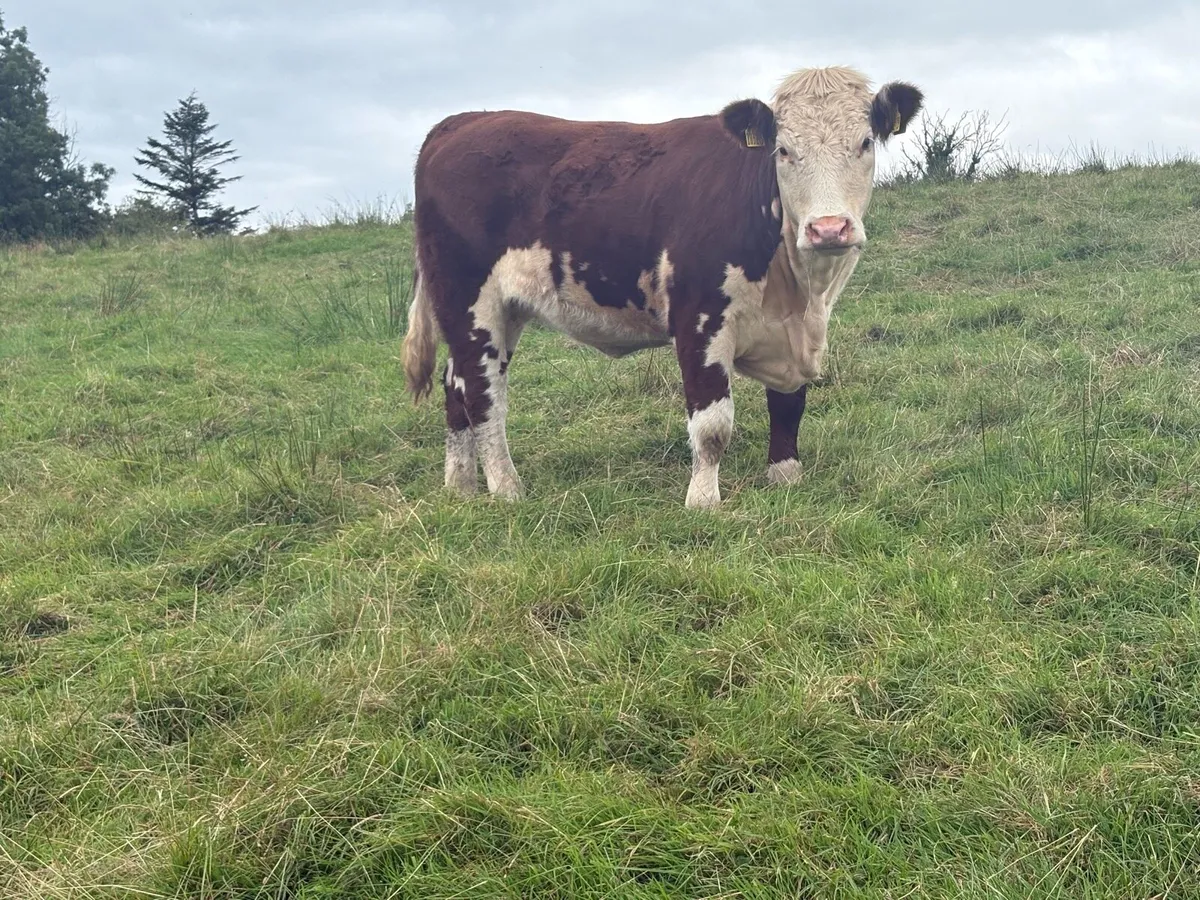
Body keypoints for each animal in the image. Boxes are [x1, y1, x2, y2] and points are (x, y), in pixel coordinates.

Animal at [402, 66, 923, 508]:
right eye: (784, 151)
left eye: (864, 143)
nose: (829, 228)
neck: (799, 290)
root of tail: (463, 121)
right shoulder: (699, 317)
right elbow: (712, 423)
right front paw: (703, 501)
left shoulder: (796, 331)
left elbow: (789, 403)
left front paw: (786, 478)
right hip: (469, 299)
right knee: (481, 393)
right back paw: (506, 489)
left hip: (499, 311)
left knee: (457, 383)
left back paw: (461, 487)